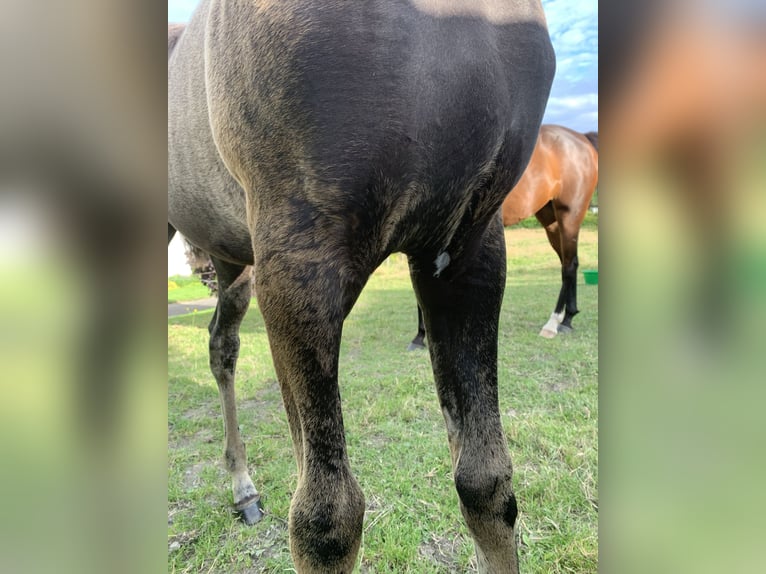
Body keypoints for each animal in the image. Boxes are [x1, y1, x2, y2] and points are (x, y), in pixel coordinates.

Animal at [168, 2, 556, 572]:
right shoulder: (297, 266)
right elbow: (325, 520)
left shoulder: (468, 254)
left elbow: (486, 482)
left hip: (234, 261)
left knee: (222, 345)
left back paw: (243, 488)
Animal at [412, 124, 596, 352]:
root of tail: (582, 139)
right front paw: (420, 336)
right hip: (551, 221)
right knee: (570, 262)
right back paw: (568, 318)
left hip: (569, 216)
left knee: (568, 267)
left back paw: (553, 323)